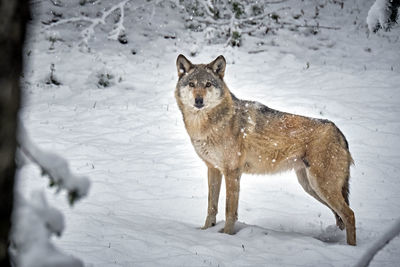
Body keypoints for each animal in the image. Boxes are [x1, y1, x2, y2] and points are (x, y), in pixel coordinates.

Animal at [175, 54, 356, 247]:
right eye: (192, 84)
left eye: (208, 84)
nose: (198, 101)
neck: (208, 126)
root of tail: (339, 132)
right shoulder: (213, 169)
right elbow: (211, 207)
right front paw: (205, 231)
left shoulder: (232, 172)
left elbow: (229, 210)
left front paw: (226, 236)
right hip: (310, 186)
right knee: (343, 216)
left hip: (322, 187)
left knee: (350, 215)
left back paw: (351, 248)